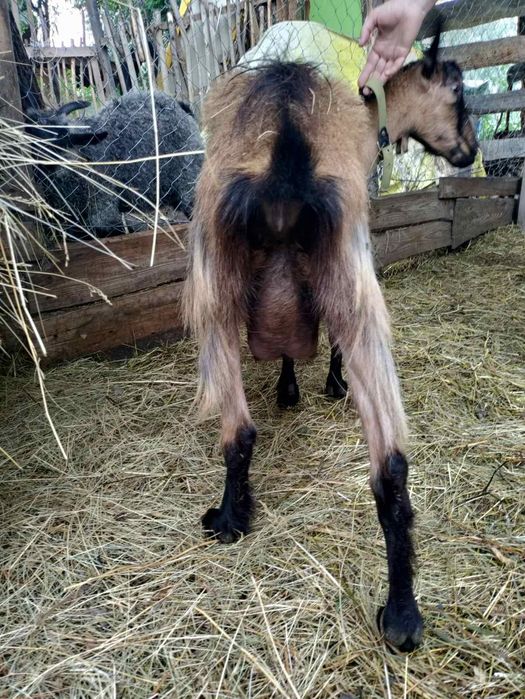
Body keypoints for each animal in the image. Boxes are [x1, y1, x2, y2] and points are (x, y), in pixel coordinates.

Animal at [183, 30, 477, 653]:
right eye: (458, 92)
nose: (469, 150)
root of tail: (285, 145)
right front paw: (332, 384)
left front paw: (290, 390)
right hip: (354, 277)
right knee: (391, 461)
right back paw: (403, 616)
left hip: (214, 288)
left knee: (241, 431)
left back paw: (231, 519)